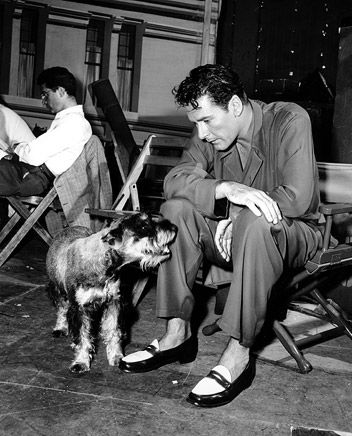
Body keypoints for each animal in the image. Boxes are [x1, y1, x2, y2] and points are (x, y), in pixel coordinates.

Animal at [46, 213, 177, 372]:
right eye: (143, 226)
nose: (174, 228)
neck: (104, 265)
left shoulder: (113, 303)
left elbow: (114, 331)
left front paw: (117, 357)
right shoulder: (79, 309)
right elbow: (82, 338)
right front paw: (81, 362)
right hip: (57, 289)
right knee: (61, 308)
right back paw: (60, 327)